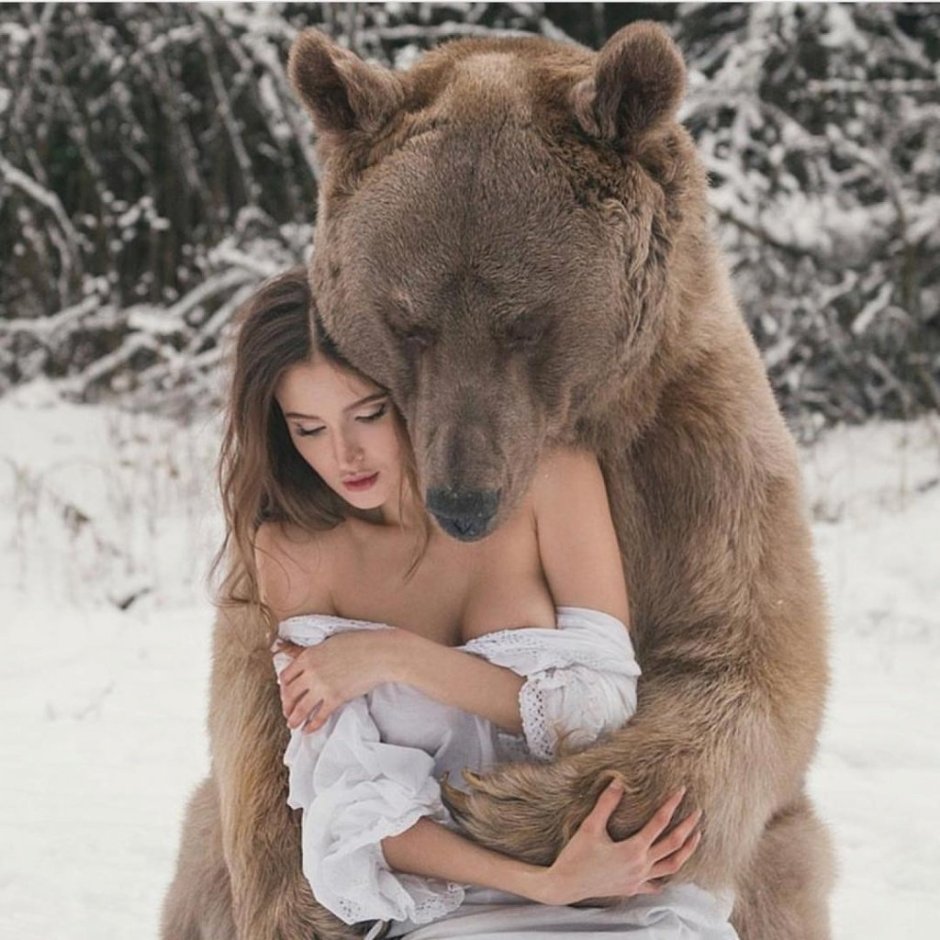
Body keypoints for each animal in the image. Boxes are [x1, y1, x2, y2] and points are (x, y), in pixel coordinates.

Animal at [162, 21, 833, 940]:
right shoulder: (272, 555)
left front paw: (506, 807)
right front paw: (309, 895)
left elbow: (745, 665)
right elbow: (263, 711)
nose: (464, 501)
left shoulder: (690, 453)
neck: (584, 425)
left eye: (526, 323)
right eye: (408, 322)